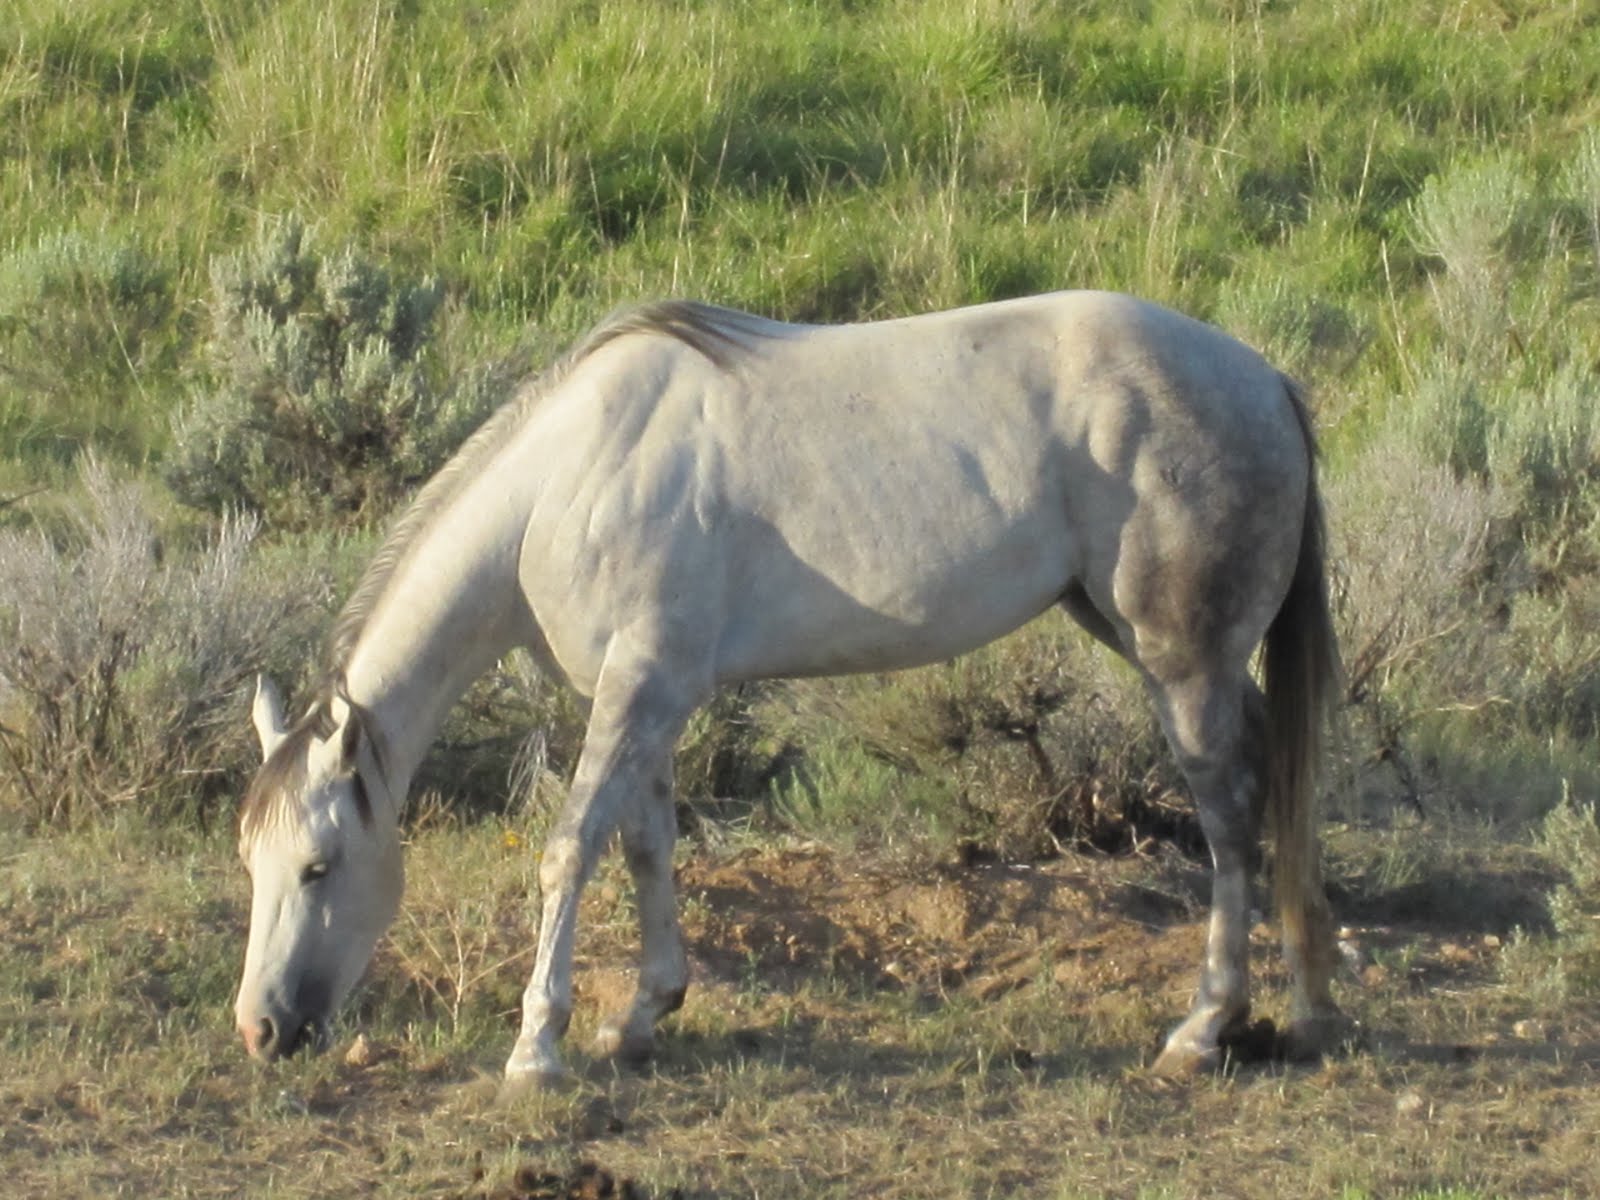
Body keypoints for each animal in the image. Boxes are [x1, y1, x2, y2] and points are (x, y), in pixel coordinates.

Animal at [232, 294, 1344, 1088]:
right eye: (253, 864)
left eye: (321, 867)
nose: (262, 1029)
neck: (567, 482)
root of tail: (1263, 379)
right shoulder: (649, 699)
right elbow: (644, 846)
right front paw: (643, 1016)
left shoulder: (638, 691)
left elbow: (569, 850)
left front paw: (535, 1049)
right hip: (1166, 650)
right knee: (1281, 786)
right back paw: (1306, 1009)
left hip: (1180, 664)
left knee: (1232, 818)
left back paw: (1206, 1026)